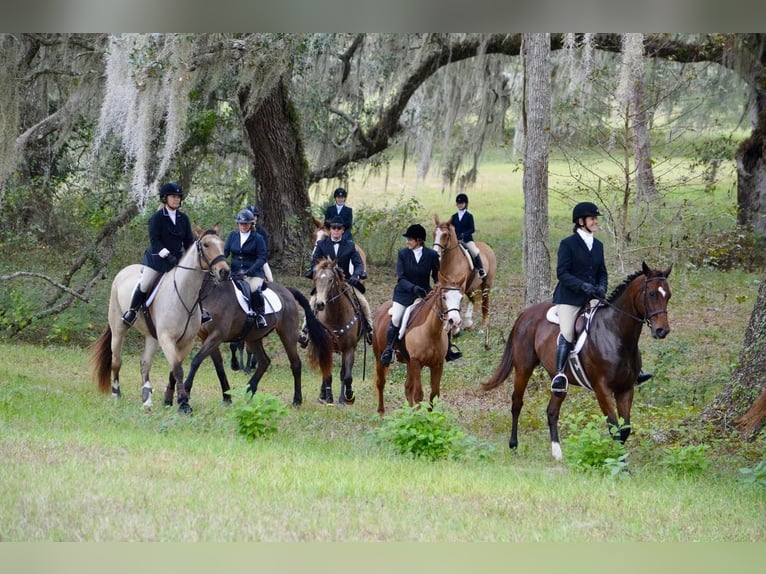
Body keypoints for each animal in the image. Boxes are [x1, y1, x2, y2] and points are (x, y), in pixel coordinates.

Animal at [91, 225, 231, 414]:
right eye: (206, 245)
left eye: (222, 245)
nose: (224, 271)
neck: (184, 296)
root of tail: (123, 272)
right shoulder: (166, 338)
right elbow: (177, 369)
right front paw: (183, 404)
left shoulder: (186, 341)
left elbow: (174, 369)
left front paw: (170, 399)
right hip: (119, 328)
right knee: (116, 361)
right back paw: (116, 394)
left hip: (151, 337)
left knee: (144, 363)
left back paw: (147, 398)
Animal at [182, 280, 338, 410]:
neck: (212, 294)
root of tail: (286, 290)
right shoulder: (206, 337)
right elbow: (218, 366)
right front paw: (226, 397)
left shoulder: (217, 336)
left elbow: (196, 360)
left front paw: (186, 392)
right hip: (253, 338)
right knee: (264, 361)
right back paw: (249, 390)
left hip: (287, 334)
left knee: (295, 364)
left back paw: (297, 400)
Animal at [314, 258, 370, 408]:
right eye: (316, 279)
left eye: (331, 280)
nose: (319, 304)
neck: (335, 317)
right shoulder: (325, 348)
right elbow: (327, 375)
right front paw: (328, 397)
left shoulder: (349, 348)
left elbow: (347, 376)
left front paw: (348, 396)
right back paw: (323, 395)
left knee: (343, 373)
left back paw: (341, 398)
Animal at [374, 272, 468, 416]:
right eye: (444, 297)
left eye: (461, 298)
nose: (455, 321)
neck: (431, 332)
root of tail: (380, 309)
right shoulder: (416, 362)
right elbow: (418, 394)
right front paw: (419, 417)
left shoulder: (437, 364)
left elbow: (434, 394)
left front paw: (429, 418)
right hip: (380, 357)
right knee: (381, 383)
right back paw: (381, 413)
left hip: (409, 363)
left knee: (407, 387)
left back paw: (410, 412)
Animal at [484, 264, 676, 462]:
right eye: (652, 294)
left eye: (668, 295)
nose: (662, 331)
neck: (616, 335)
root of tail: (525, 313)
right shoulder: (602, 389)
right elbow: (614, 427)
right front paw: (619, 463)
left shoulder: (625, 388)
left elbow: (624, 430)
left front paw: (620, 461)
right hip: (524, 367)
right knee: (517, 403)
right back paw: (514, 446)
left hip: (559, 379)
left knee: (552, 411)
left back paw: (557, 453)